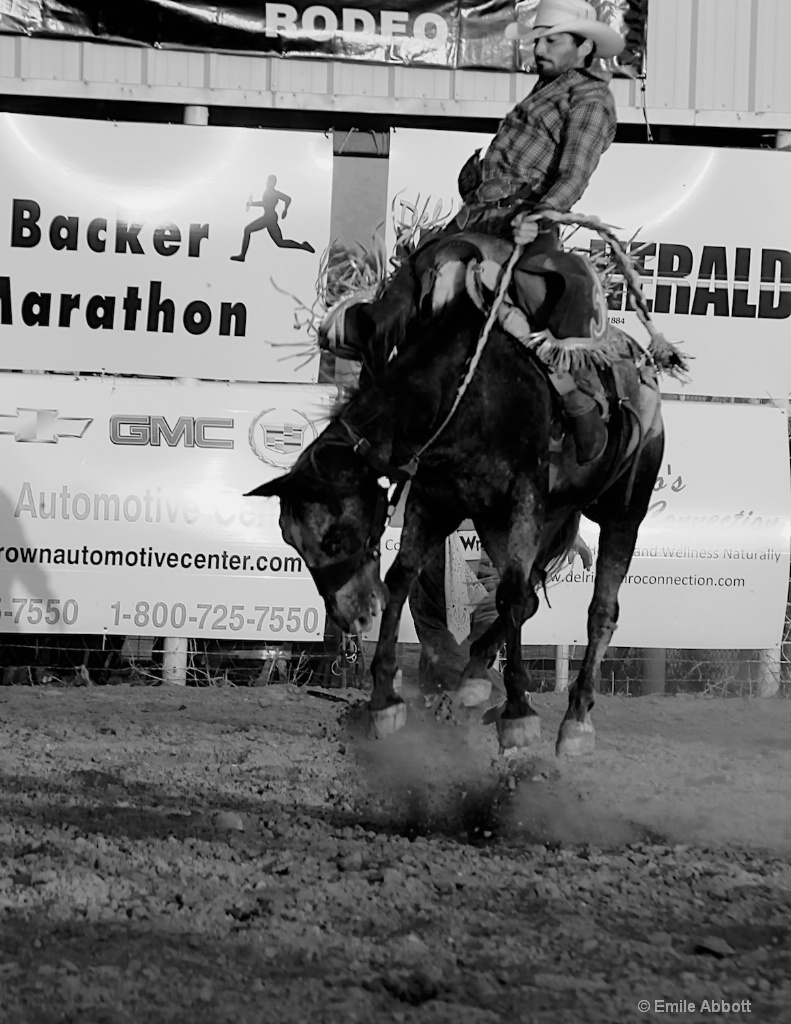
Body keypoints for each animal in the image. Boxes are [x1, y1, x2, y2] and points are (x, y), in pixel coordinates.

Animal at [246, 220, 684, 757]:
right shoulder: (437, 500)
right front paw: (384, 701)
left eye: (334, 538)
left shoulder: (523, 497)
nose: (352, 619)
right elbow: (402, 577)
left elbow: (511, 596)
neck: (462, 390)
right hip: (512, 522)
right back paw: (474, 677)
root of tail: (642, 367)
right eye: (293, 541)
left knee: (599, 611)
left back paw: (576, 721)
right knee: (529, 597)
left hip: (621, 509)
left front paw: (519, 714)